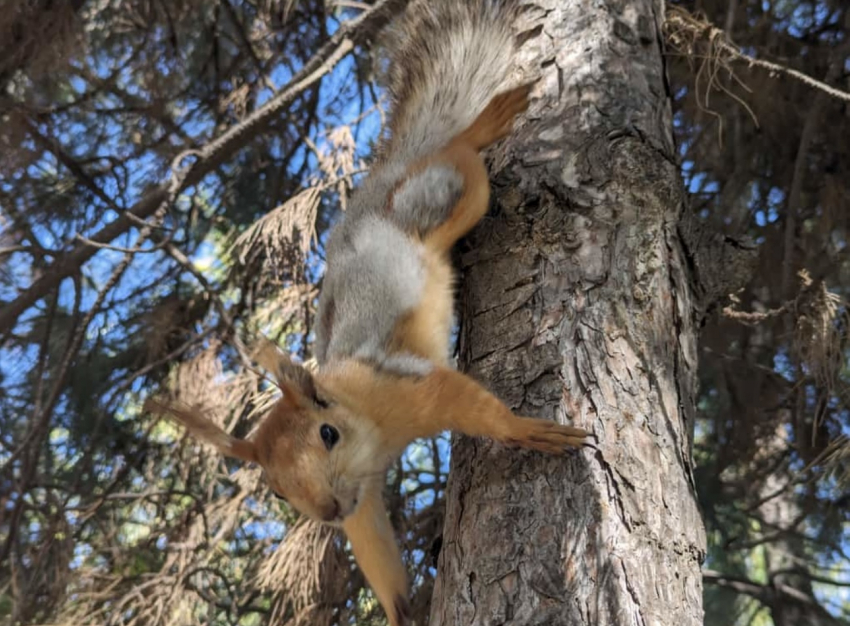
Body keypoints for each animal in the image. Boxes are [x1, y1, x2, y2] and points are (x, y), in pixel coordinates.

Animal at [147, 2, 584, 620]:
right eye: (274, 488)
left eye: (328, 434)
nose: (327, 510)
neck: (368, 428)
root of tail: (377, 187)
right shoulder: (365, 504)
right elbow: (375, 549)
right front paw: (404, 610)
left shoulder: (412, 389)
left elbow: (474, 405)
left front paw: (528, 430)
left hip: (450, 198)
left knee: (458, 153)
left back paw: (486, 124)